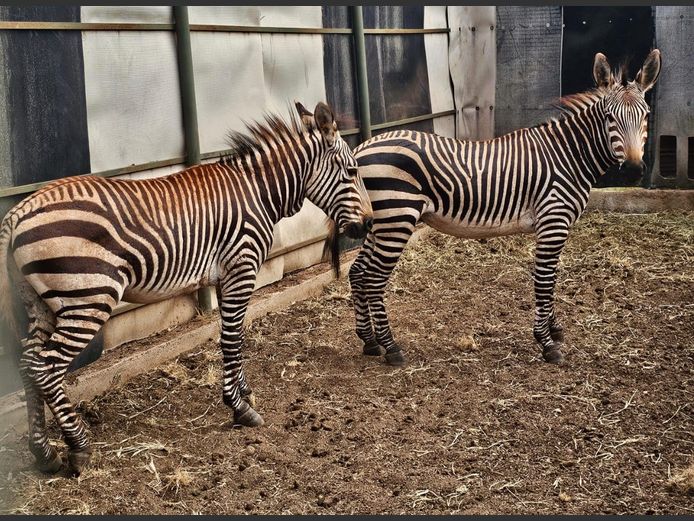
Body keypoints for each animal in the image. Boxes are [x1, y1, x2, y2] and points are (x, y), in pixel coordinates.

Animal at [0, 101, 373, 477]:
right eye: (353, 171)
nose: (369, 223)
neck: (259, 192)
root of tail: (19, 211)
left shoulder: (226, 276)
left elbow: (234, 334)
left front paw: (244, 393)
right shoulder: (242, 267)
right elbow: (231, 337)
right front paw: (240, 409)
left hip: (43, 303)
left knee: (28, 362)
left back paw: (44, 453)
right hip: (87, 298)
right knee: (46, 367)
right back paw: (78, 447)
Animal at [348, 50, 661, 368]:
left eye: (646, 116)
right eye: (609, 118)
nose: (634, 170)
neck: (569, 156)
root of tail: (360, 149)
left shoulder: (557, 225)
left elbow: (552, 278)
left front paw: (554, 329)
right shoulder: (554, 220)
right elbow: (545, 280)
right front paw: (546, 343)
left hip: (381, 222)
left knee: (358, 272)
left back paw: (370, 341)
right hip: (397, 217)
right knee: (374, 279)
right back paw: (392, 347)